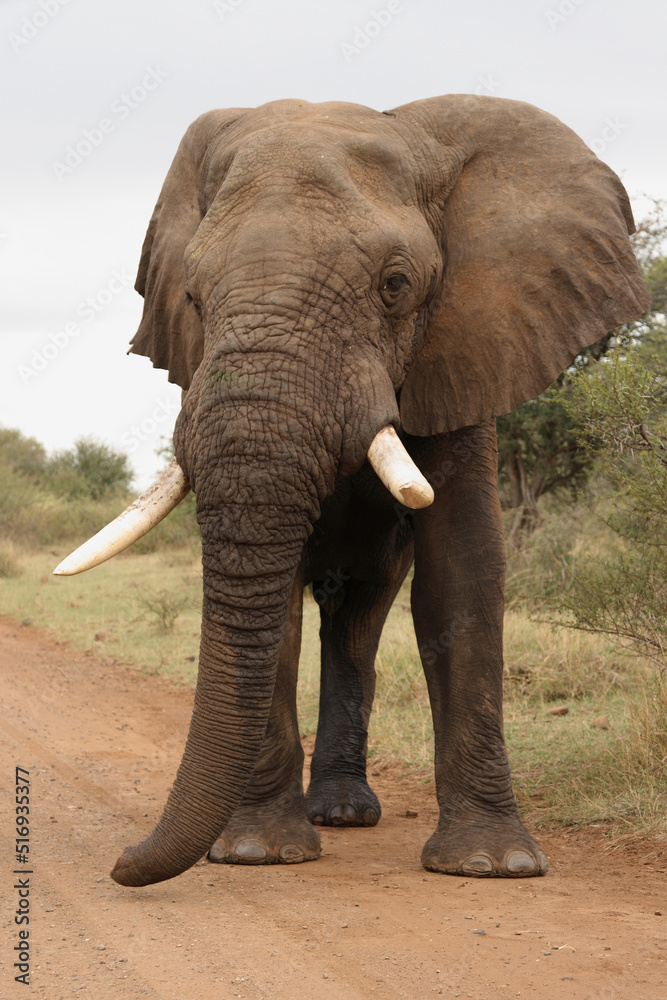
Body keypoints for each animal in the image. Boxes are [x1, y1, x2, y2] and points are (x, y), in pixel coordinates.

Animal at [54, 95, 648, 887]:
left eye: (395, 286)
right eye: (191, 296)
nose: (121, 862)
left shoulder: (466, 347)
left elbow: (462, 570)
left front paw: (492, 865)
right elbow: (271, 597)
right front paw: (257, 853)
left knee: (360, 621)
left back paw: (343, 812)